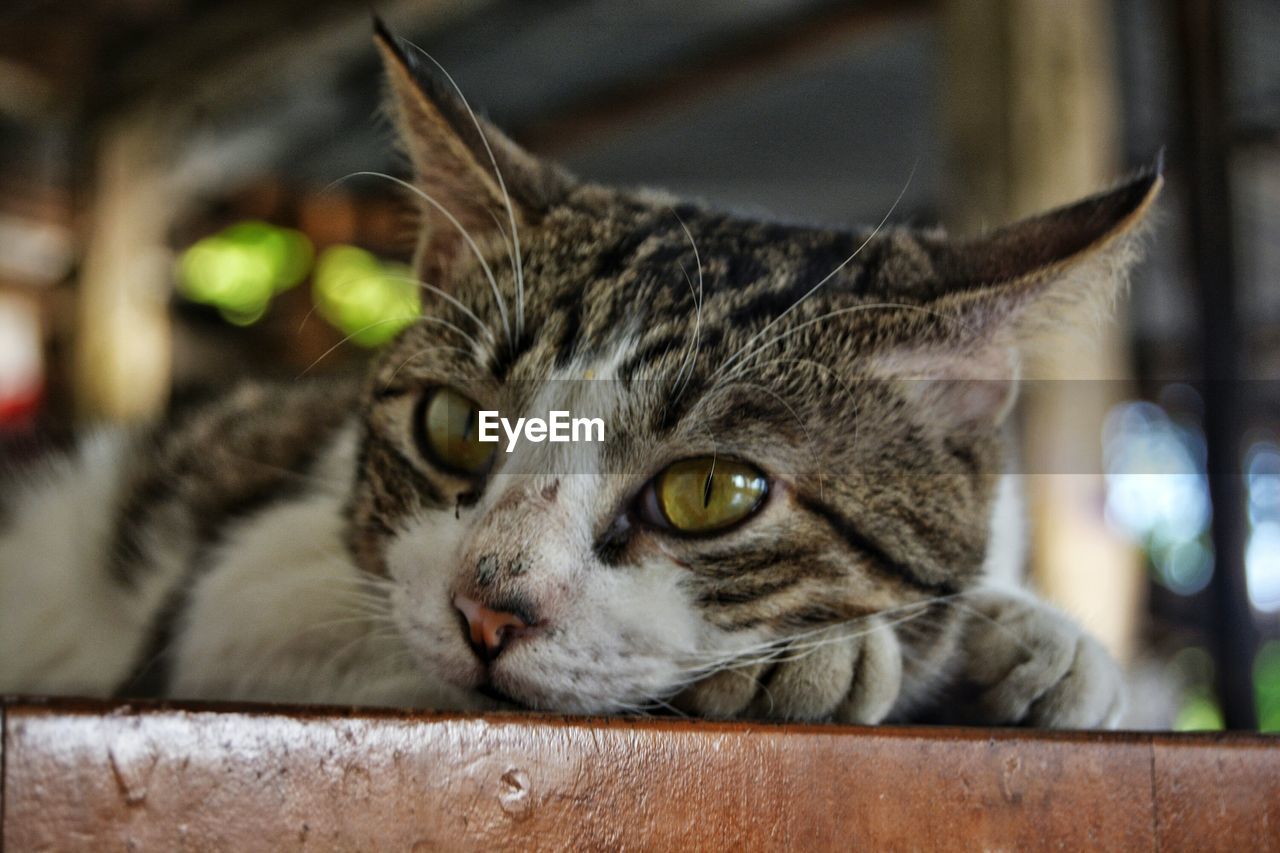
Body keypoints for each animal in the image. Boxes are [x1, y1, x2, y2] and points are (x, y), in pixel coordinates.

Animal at [0, 21, 1162, 722]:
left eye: (712, 491)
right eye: (453, 425)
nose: (488, 610)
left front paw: (1038, 642)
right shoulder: (229, 594)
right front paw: (816, 660)